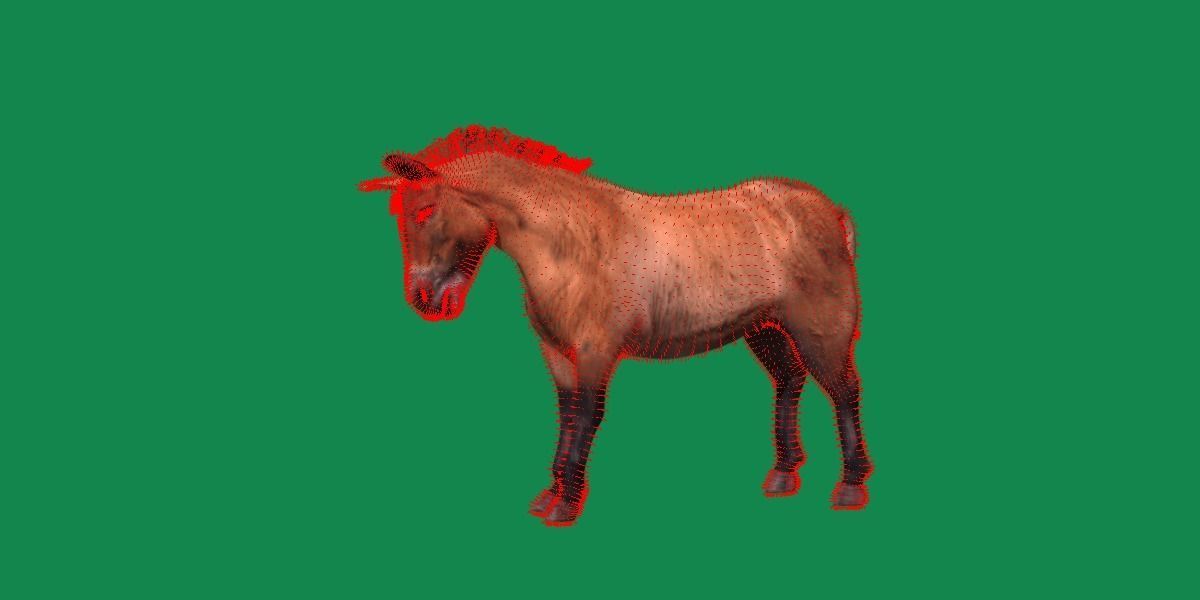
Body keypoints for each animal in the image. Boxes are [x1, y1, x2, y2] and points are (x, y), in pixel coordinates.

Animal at [359, 125, 873, 526]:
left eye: (424, 211)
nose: (423, 299)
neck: (567, 241)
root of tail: (830, 211)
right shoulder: (558, 353)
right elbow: (566, 413)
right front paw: (549, 495)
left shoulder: (595, 351)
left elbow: (588, 414)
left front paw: (565, 505)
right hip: (764, 328)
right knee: (790, 379)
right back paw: (784, 474)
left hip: (821, 330)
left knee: (844, 390)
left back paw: (850, 486)